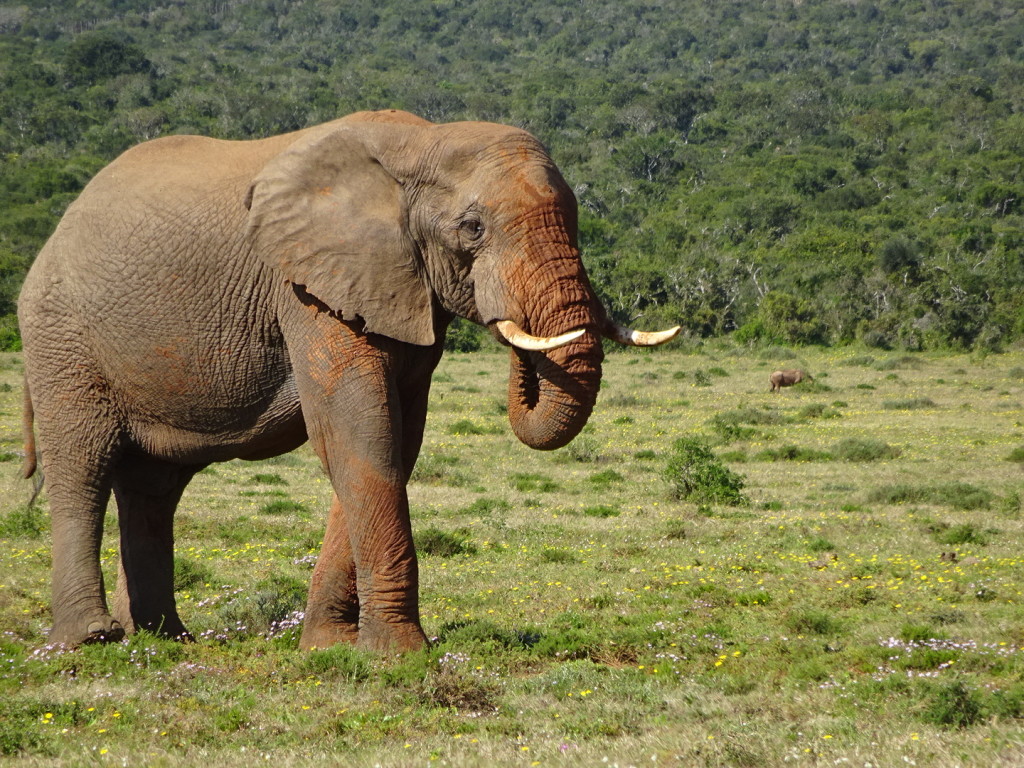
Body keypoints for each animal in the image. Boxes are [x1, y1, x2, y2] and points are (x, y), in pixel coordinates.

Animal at [19, 108, 675, 651]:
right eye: (473, 229)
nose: (513, 331)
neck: (421, 141)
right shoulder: (305, 286)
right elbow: (359, 429)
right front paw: (401, 656)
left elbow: (392, 441)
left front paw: (329, 647)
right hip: (60, 337)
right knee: (83, 466)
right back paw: (90, 641)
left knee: (153, 488)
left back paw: (166, 641)